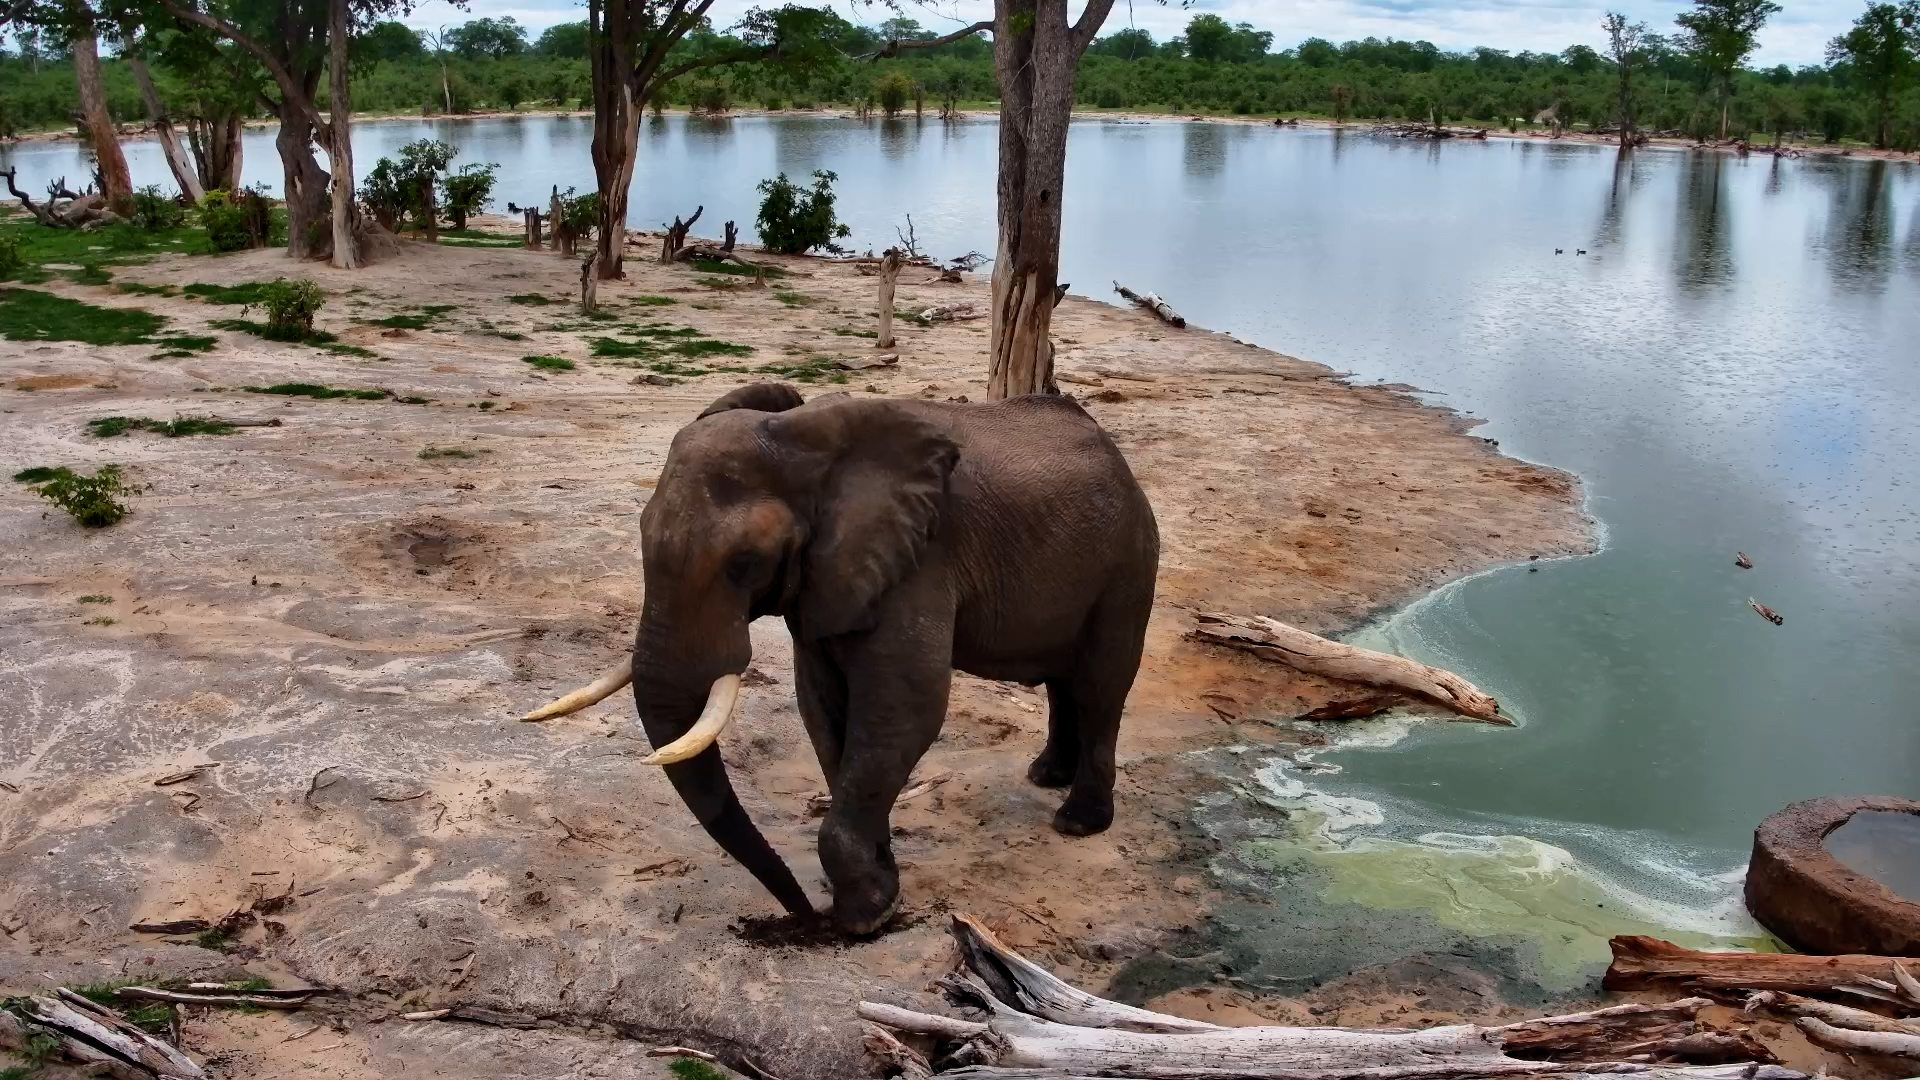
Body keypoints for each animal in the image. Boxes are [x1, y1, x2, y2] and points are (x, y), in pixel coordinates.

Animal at [526, 384, 1159, 935]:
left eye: (742, 562)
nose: (804, 919)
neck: (806, 441)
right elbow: (824, 704)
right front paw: (879, 886)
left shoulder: (919, 561)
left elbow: (903, 708)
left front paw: (864, 918)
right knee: (1063, 681)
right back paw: (1045, 776)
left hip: (1129, 563)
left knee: (1100, 687)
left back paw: (1077, 822)